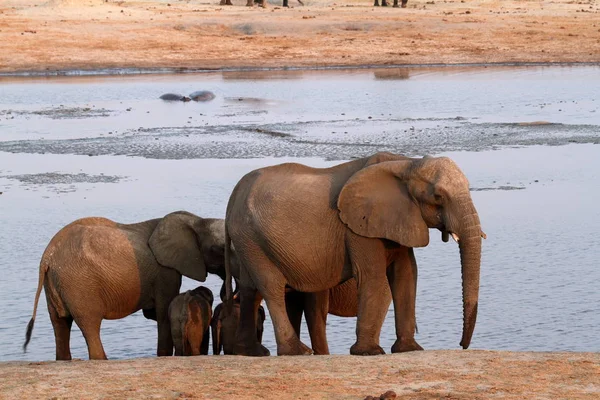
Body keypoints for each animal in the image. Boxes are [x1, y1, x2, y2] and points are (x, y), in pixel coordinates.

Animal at [24, 211, 230, 360]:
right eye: (219, 249)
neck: (197, 221)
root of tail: (47, 256)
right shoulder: (165, 272)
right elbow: (163, 314)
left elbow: (154, 314)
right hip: (78, 284)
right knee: (90, 326)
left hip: (55, 285)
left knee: (60, 325)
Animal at [225, 152, 482, 354]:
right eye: (438, 197)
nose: (462, 345)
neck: (407, 163)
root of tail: (233, 196)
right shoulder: (357, 227)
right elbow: (375, 279)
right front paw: (369, 352)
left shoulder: (400, 219)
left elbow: (406, 275)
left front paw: (410, 349)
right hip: (250, 237)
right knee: (271, 287)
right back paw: (296, 352)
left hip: (248, 240)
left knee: (250, 289)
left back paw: (251, 352)